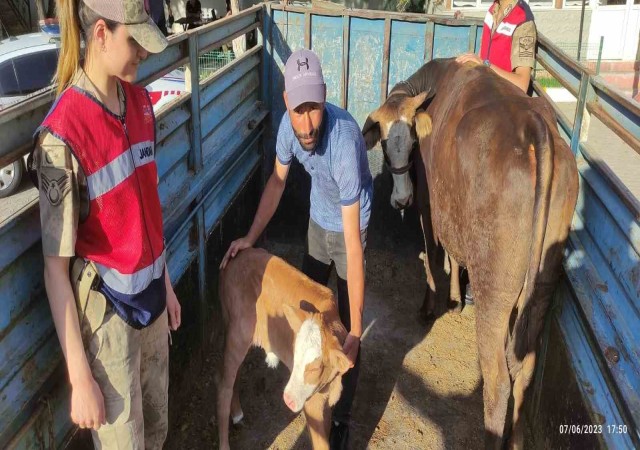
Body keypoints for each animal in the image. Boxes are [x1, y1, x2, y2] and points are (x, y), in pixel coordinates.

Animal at [218, 248, 352, 448]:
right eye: (295, 356)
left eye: (316, 367)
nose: (288, 399)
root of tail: (239, 255)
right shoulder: (312, 402)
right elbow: (321, 444)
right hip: (237, 334)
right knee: (222, 384)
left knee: (236, 372)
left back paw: (237, 413)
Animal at [362, 58, 576, 448]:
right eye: (385, 145)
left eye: (412, 143)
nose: (401, 199)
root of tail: (533, 124)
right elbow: (454, 256)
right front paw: (456, 299)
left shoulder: (429, 204)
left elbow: (434, 255)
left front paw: (431, 304)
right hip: (542, 284)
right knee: (524, 369)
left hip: (496, 289)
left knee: (498, 379)